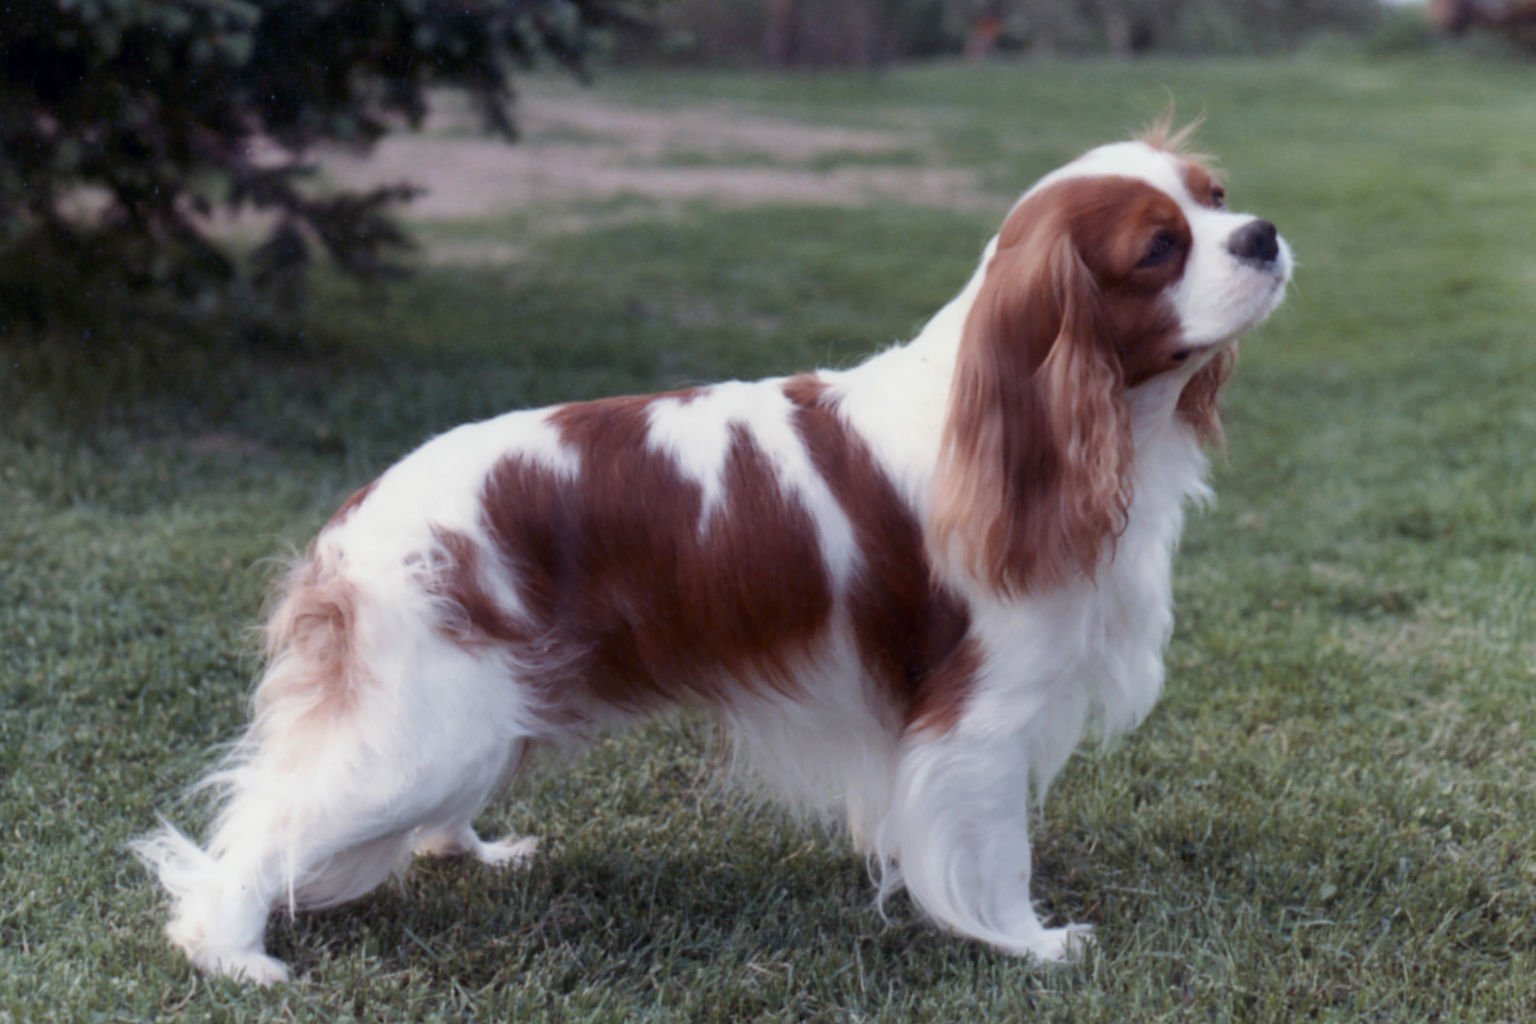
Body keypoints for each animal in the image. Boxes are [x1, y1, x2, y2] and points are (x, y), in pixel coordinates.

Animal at [132, 124, 1290, 988]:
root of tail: (354, 520)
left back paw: (472, 850)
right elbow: (993, 849)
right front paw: (1033, 942)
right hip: (427, 727)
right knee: (258, 829)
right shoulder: (980, 717)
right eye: (1159, 249)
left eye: (1218, 194)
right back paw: (233, 954)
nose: (1264, 234)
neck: (1041, 416)